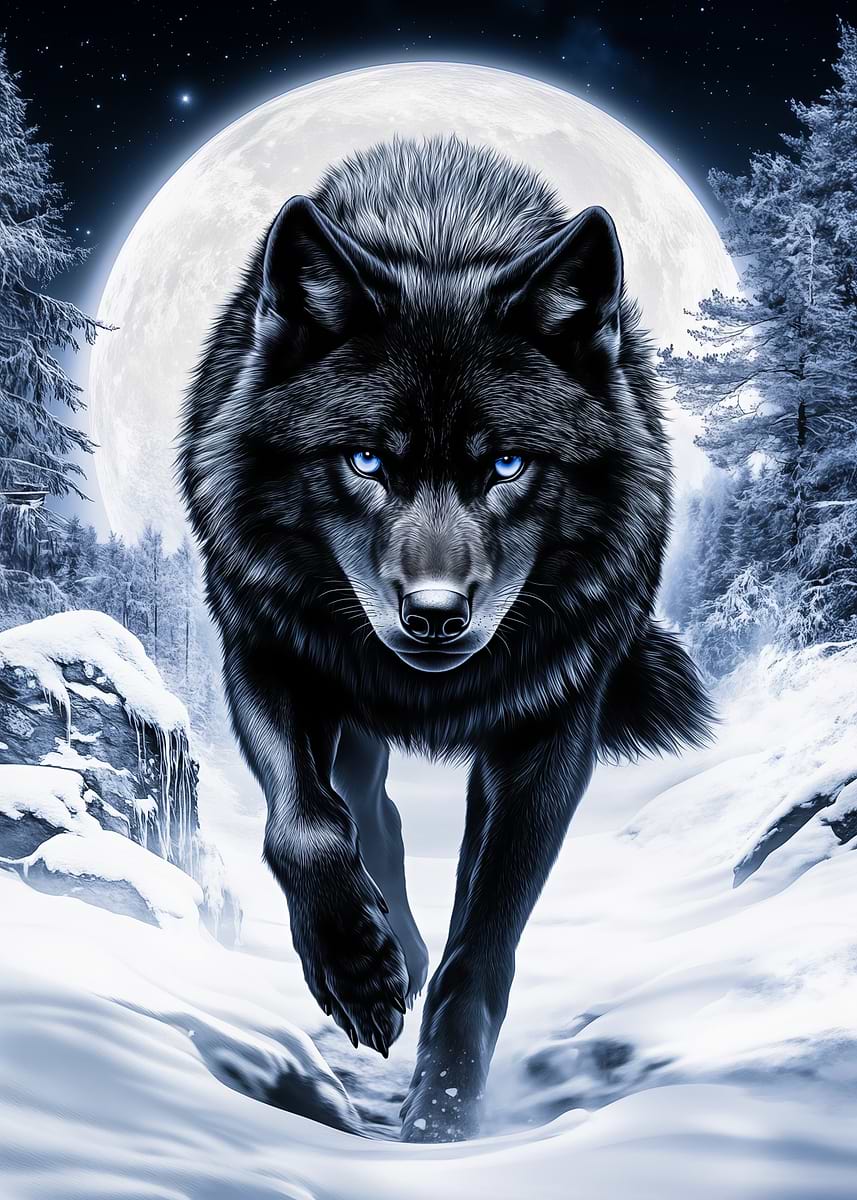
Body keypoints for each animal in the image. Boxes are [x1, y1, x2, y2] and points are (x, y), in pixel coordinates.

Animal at [178, 135, 713, 1142]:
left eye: (505, 463)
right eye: (366, 460)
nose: (432, 614)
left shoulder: (548, 734)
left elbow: (481, 950)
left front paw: (443, 1120)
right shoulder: (262, 649)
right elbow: (303, 826)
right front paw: (358, 970)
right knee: (361, 797)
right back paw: (393, 944)